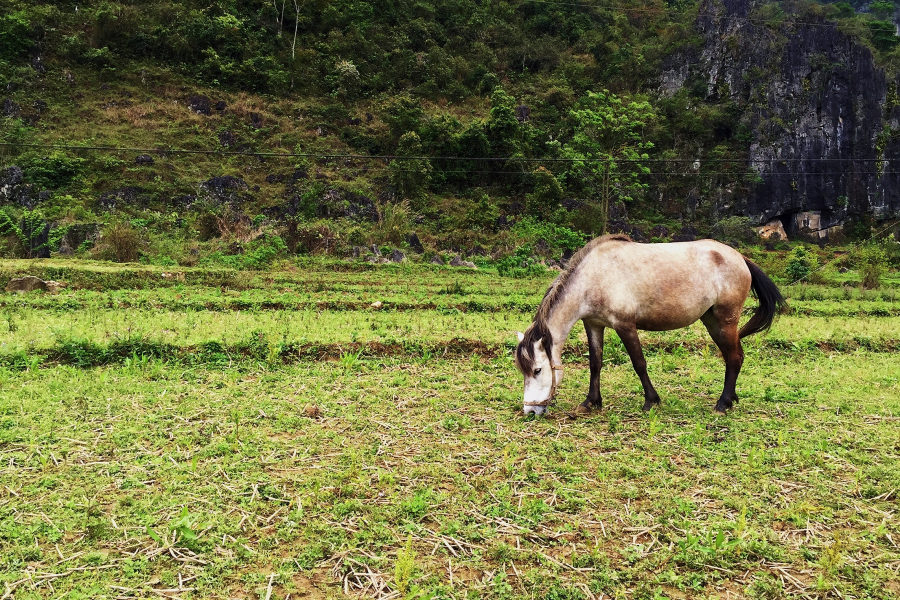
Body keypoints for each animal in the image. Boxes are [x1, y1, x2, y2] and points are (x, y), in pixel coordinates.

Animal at [516, 236, 784, 418]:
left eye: (538, 370)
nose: (530, 411)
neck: (593, 277)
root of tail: (740, 257)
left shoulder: (625, 325)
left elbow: (639, 363)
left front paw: (651, 401)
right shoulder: (593, 324)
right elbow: (595, 364)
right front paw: (590, 402)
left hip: (726, 320)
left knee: (734, 358)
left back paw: (722, 404)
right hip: (712, 322)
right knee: (734, 356)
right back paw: (731, 399)